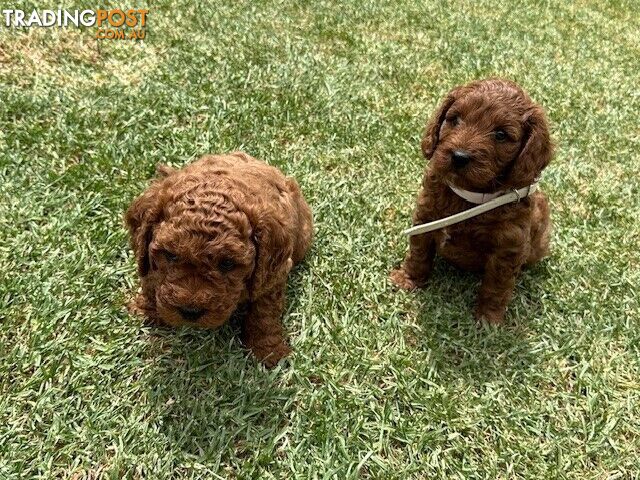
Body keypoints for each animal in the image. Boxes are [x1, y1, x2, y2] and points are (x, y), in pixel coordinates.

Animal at [125, 152, 312, 366]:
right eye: (170, 255)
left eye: (227, 263)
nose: (190, 312)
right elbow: (150, 278)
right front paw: (147, 310)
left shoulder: (274, 273)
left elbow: (264, 311)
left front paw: (268, 350)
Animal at [390, 80, 556, 324]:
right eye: (455, 119)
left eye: (500, 134)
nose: (459, 156)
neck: (468, 198)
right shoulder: (425, 217)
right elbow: (418, 253)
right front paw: (407, 279)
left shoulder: (508, 247)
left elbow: (497, 284)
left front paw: (488, 317)